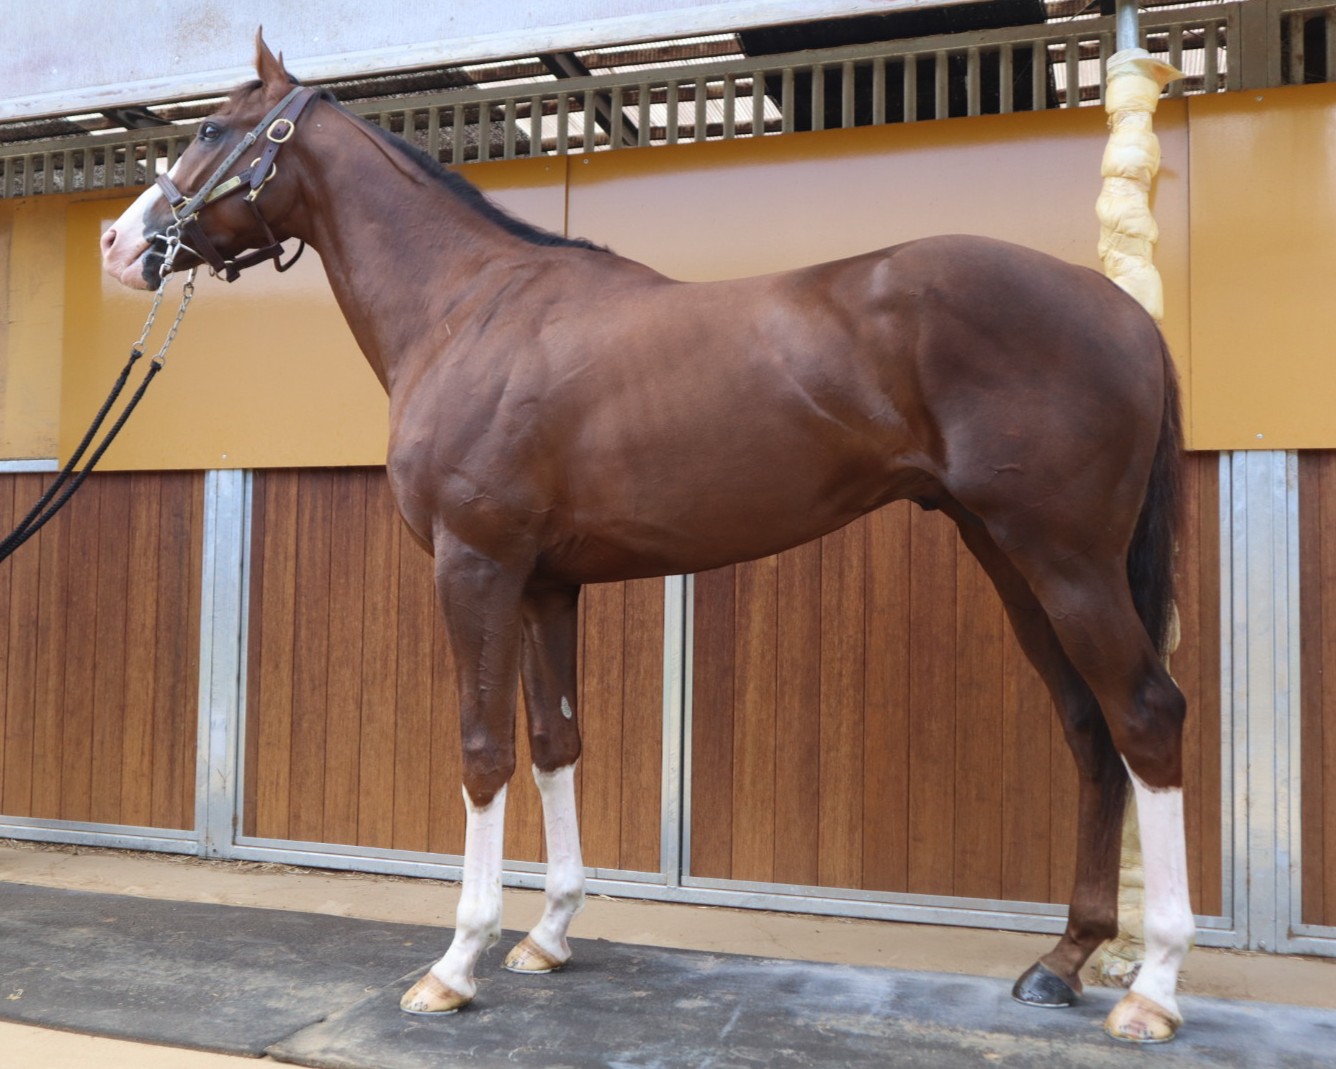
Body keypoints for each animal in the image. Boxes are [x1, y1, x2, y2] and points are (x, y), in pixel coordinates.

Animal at [101, 33, 1194, 1045]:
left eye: (210, 130)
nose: (118, 244)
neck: (468, 310)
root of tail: (1125, 313)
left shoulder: (475, 565)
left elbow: (484, 752)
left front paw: (456, 964)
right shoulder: (545, 585)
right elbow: (556, 742)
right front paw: (548, 935)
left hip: (1066, 561)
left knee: (1147, 715)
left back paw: (1150, 990)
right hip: (1011, 560)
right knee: (1090, 729)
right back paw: (1062, 960)